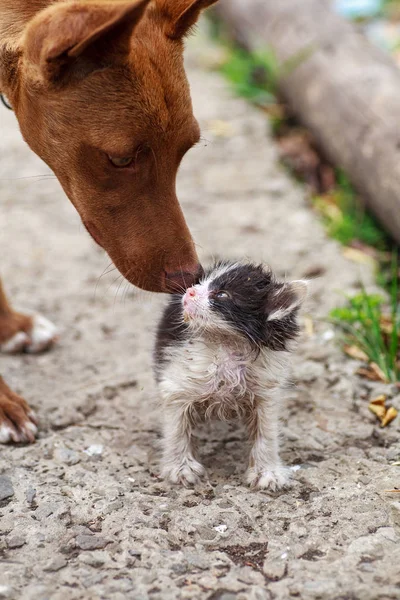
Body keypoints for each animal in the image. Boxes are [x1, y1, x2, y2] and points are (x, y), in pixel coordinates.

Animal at [152, 260, 306, 490]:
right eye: (201, 283)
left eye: (222, 295)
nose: (189, 291)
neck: (227, 344)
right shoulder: (177, 384)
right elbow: (176, 429)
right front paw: (180, 469)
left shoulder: (266, 392)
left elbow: (266, 432)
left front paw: (267, 472)